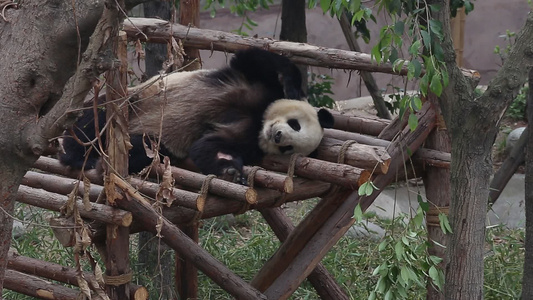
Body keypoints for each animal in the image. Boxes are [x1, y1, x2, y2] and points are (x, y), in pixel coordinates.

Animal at [59, 48, 332, 182]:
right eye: (295, 124)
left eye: (288, 148)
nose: (277, 136)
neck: (260, 118)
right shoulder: (257, 83)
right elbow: (255, 59)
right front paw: (293, 86)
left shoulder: (248, 140)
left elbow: (210, 145)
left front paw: (231, 171)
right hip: (134, 100)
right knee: (96, 117)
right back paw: (75, 153)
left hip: (154, 142)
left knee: (144, 149)